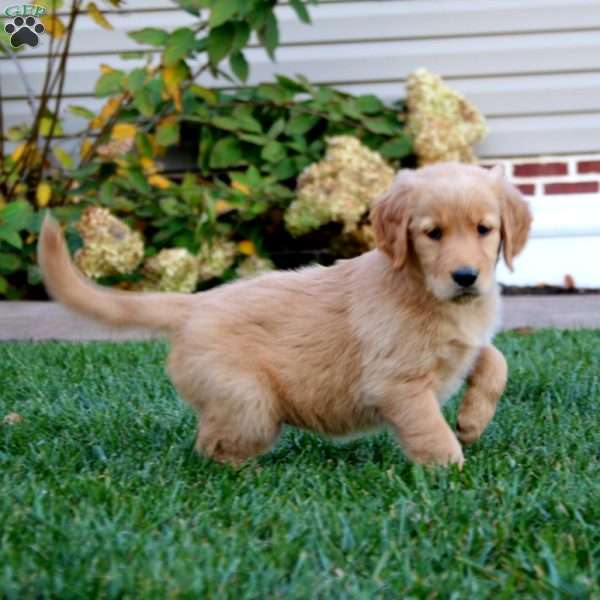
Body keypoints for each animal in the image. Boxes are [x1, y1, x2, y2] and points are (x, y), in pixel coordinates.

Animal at [39, 162, 532, 466]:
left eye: (484, 230)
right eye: (432, 234)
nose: (466, 277)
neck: (423, 288)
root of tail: (198, 301)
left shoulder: (464, 346)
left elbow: (495, 361)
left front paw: (472, 422)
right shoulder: (397, 384)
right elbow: (430, 430)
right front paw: (452, 470)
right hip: (249, 401)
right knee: (209, 446)